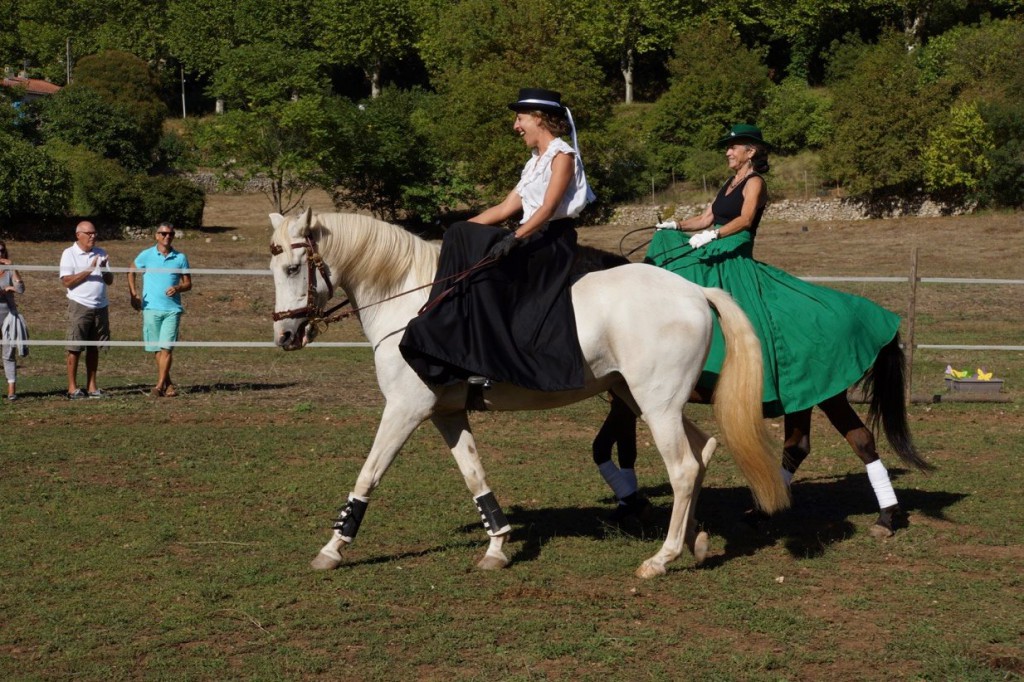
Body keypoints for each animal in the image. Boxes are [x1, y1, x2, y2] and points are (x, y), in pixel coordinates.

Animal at [268, 206, 786, 573]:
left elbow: (368, 475)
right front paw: (497, 545)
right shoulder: (446, 413)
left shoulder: (405, 409)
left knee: (682, 468)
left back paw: (662, 558)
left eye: (294, 268)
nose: (285, 336)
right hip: (644, 399)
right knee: (702, 451)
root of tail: (694, 292)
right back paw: (695, 539)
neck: (411, 302)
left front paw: (333, 547)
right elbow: (474, 475)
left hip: (656, 406)